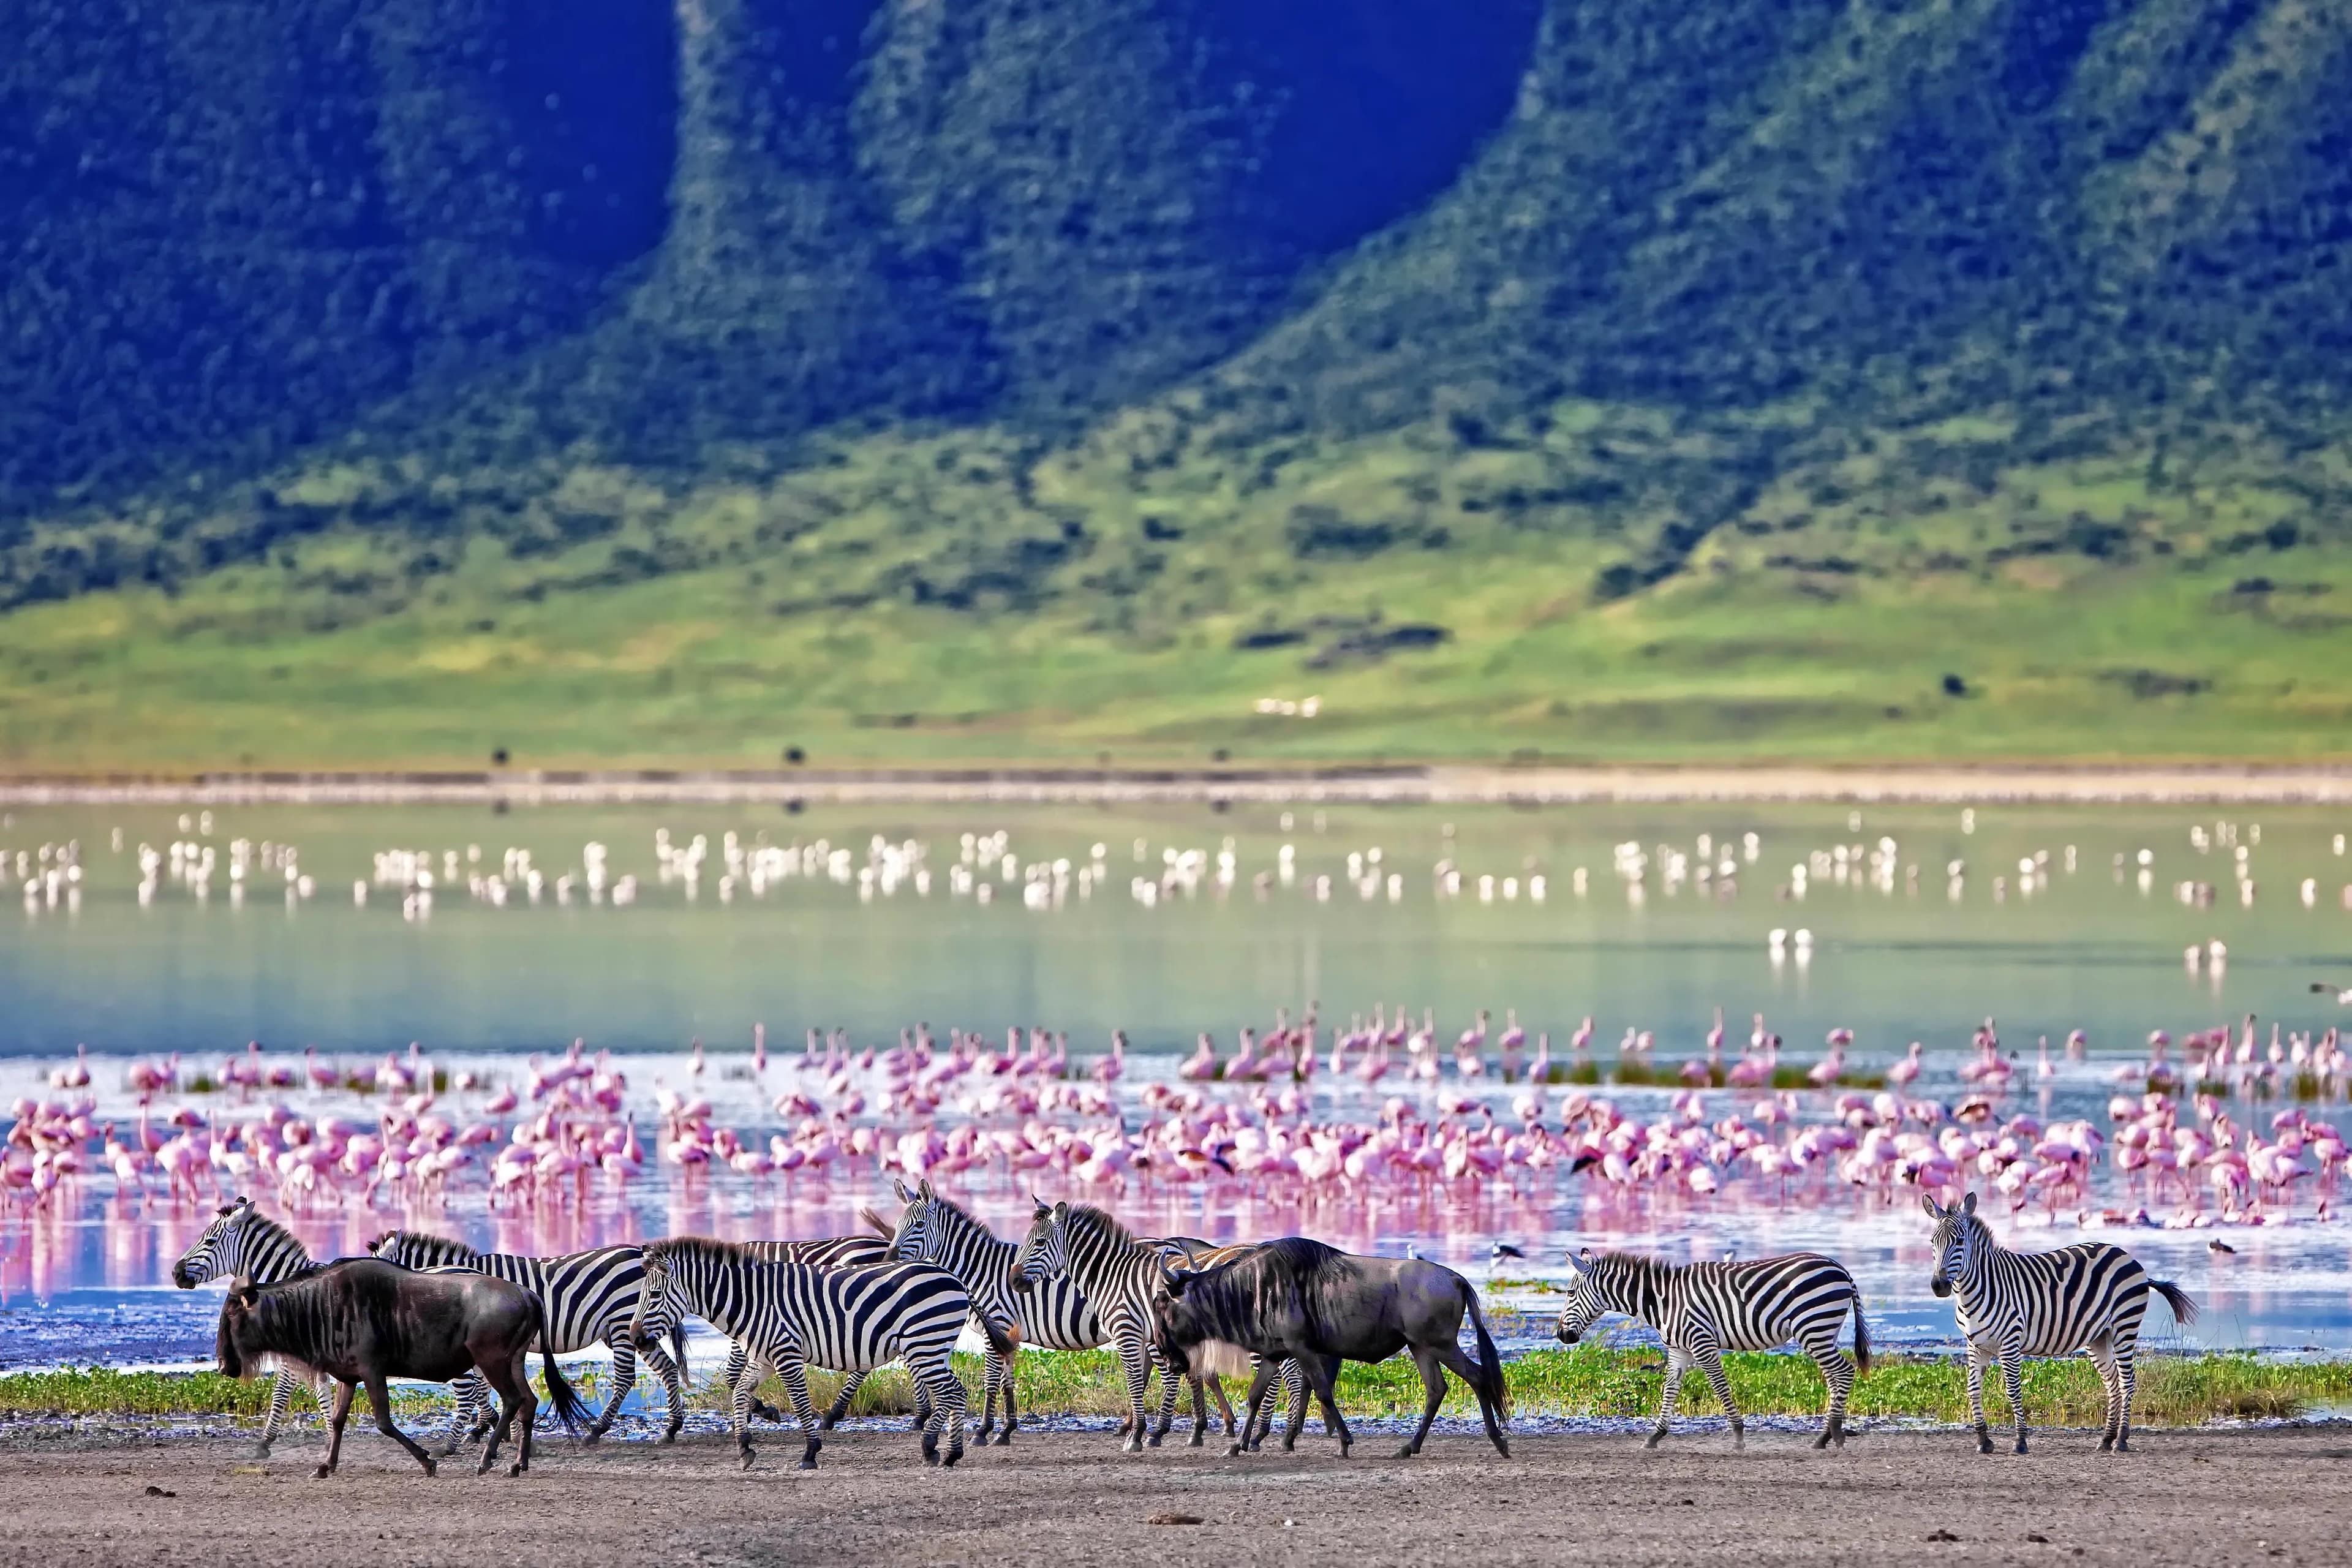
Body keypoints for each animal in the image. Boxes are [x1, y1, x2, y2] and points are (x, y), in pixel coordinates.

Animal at [367, 1230, 690, 1446]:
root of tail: (641, 1254)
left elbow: (481, 1387)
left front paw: (487, 1427)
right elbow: (484, 1386)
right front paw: (490, 1426)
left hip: (623, 1325)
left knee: (625, 1378)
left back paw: (596, 1431)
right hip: (637, 1331)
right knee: (667, 1368)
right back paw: (672, 1427)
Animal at [627, 1235, 998, 1470]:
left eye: (655, 1295)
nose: (635, 1339)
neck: (752, 1301)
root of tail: (952, 1276)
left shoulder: (786, 1354)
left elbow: (800, 1403)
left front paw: (809, 1452)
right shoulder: (763, 1358)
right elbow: (739, 1393)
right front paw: (745, 1447)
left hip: (924, 1346)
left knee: (953, 1392)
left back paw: (939, 1449)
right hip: (933, 1347)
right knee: (954, 1392)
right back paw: (944, 1452)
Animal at [1008, 1198, 1304, 1454]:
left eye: (1040, 1243)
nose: (1013, 1281)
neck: (1112, 1276)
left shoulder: (1126, 1332)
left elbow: (1135, 1379)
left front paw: (1138, 1434)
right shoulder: (1149, 1336)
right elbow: (1159, 1377)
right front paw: (1151, 1431)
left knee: (1283, 1375)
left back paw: (1264, 1437)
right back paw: (1273, 1436)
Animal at [1554, 1246, 1869, 1450]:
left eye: (1569, 1293)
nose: (1561, 1335)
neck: (1663, 1300)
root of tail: (1841, 1269)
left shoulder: (1702, 1343)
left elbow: (1720, 1387)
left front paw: (1739, 1436)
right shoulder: (1679, 1350)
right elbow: (1670, 1390)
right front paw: (1655, 1437)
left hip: (1813, 1327)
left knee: (1844, 1372)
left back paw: (1832, 1434)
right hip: (1821, 1331)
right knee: (1834, 1377)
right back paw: (1825, 1437)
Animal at [1924, 1191, 2197, 1454]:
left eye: (1960, 1241)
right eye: (1932, 1242)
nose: (1939, 1285)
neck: (1976, 1290)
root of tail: (2127, 1256)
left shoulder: (2010, 1342)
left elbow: (2013, 1391)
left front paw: (2020, 1441)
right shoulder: (1976, 1346)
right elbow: (1973, 1390)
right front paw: (1983, 1441)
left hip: (2125, 1326)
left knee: (2127, 1382)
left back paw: (2121, 1440)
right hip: (2099, 1336)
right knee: (2113, 1383)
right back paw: (2106, 1439)